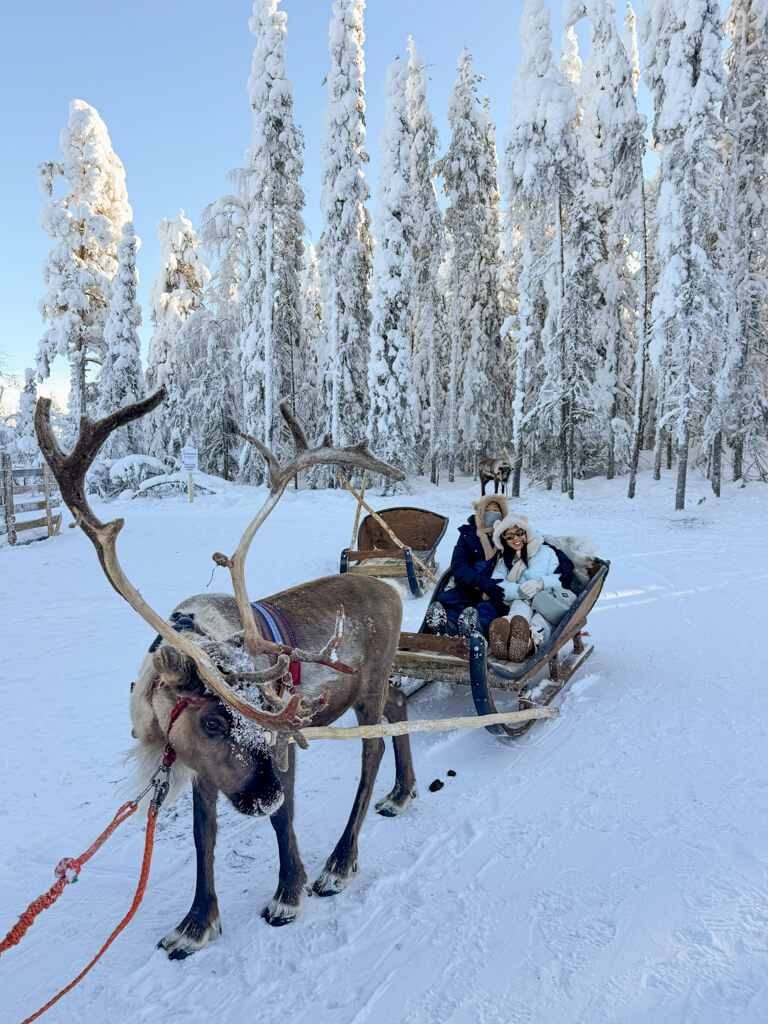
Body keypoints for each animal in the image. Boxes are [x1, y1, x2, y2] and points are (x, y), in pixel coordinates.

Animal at [34, 389, 418, 959]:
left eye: (264, 716)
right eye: (212, 723)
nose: (263, 794)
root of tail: (391, 589)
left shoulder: (284, 740)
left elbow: (284, 819)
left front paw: (287, 894)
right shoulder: (200, 765)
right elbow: (203, 834)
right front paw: (196, 923)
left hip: (367, 688)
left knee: (371, 751)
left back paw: (339, 863)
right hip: (371, 686)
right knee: (401, 707)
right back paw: (402, 792)